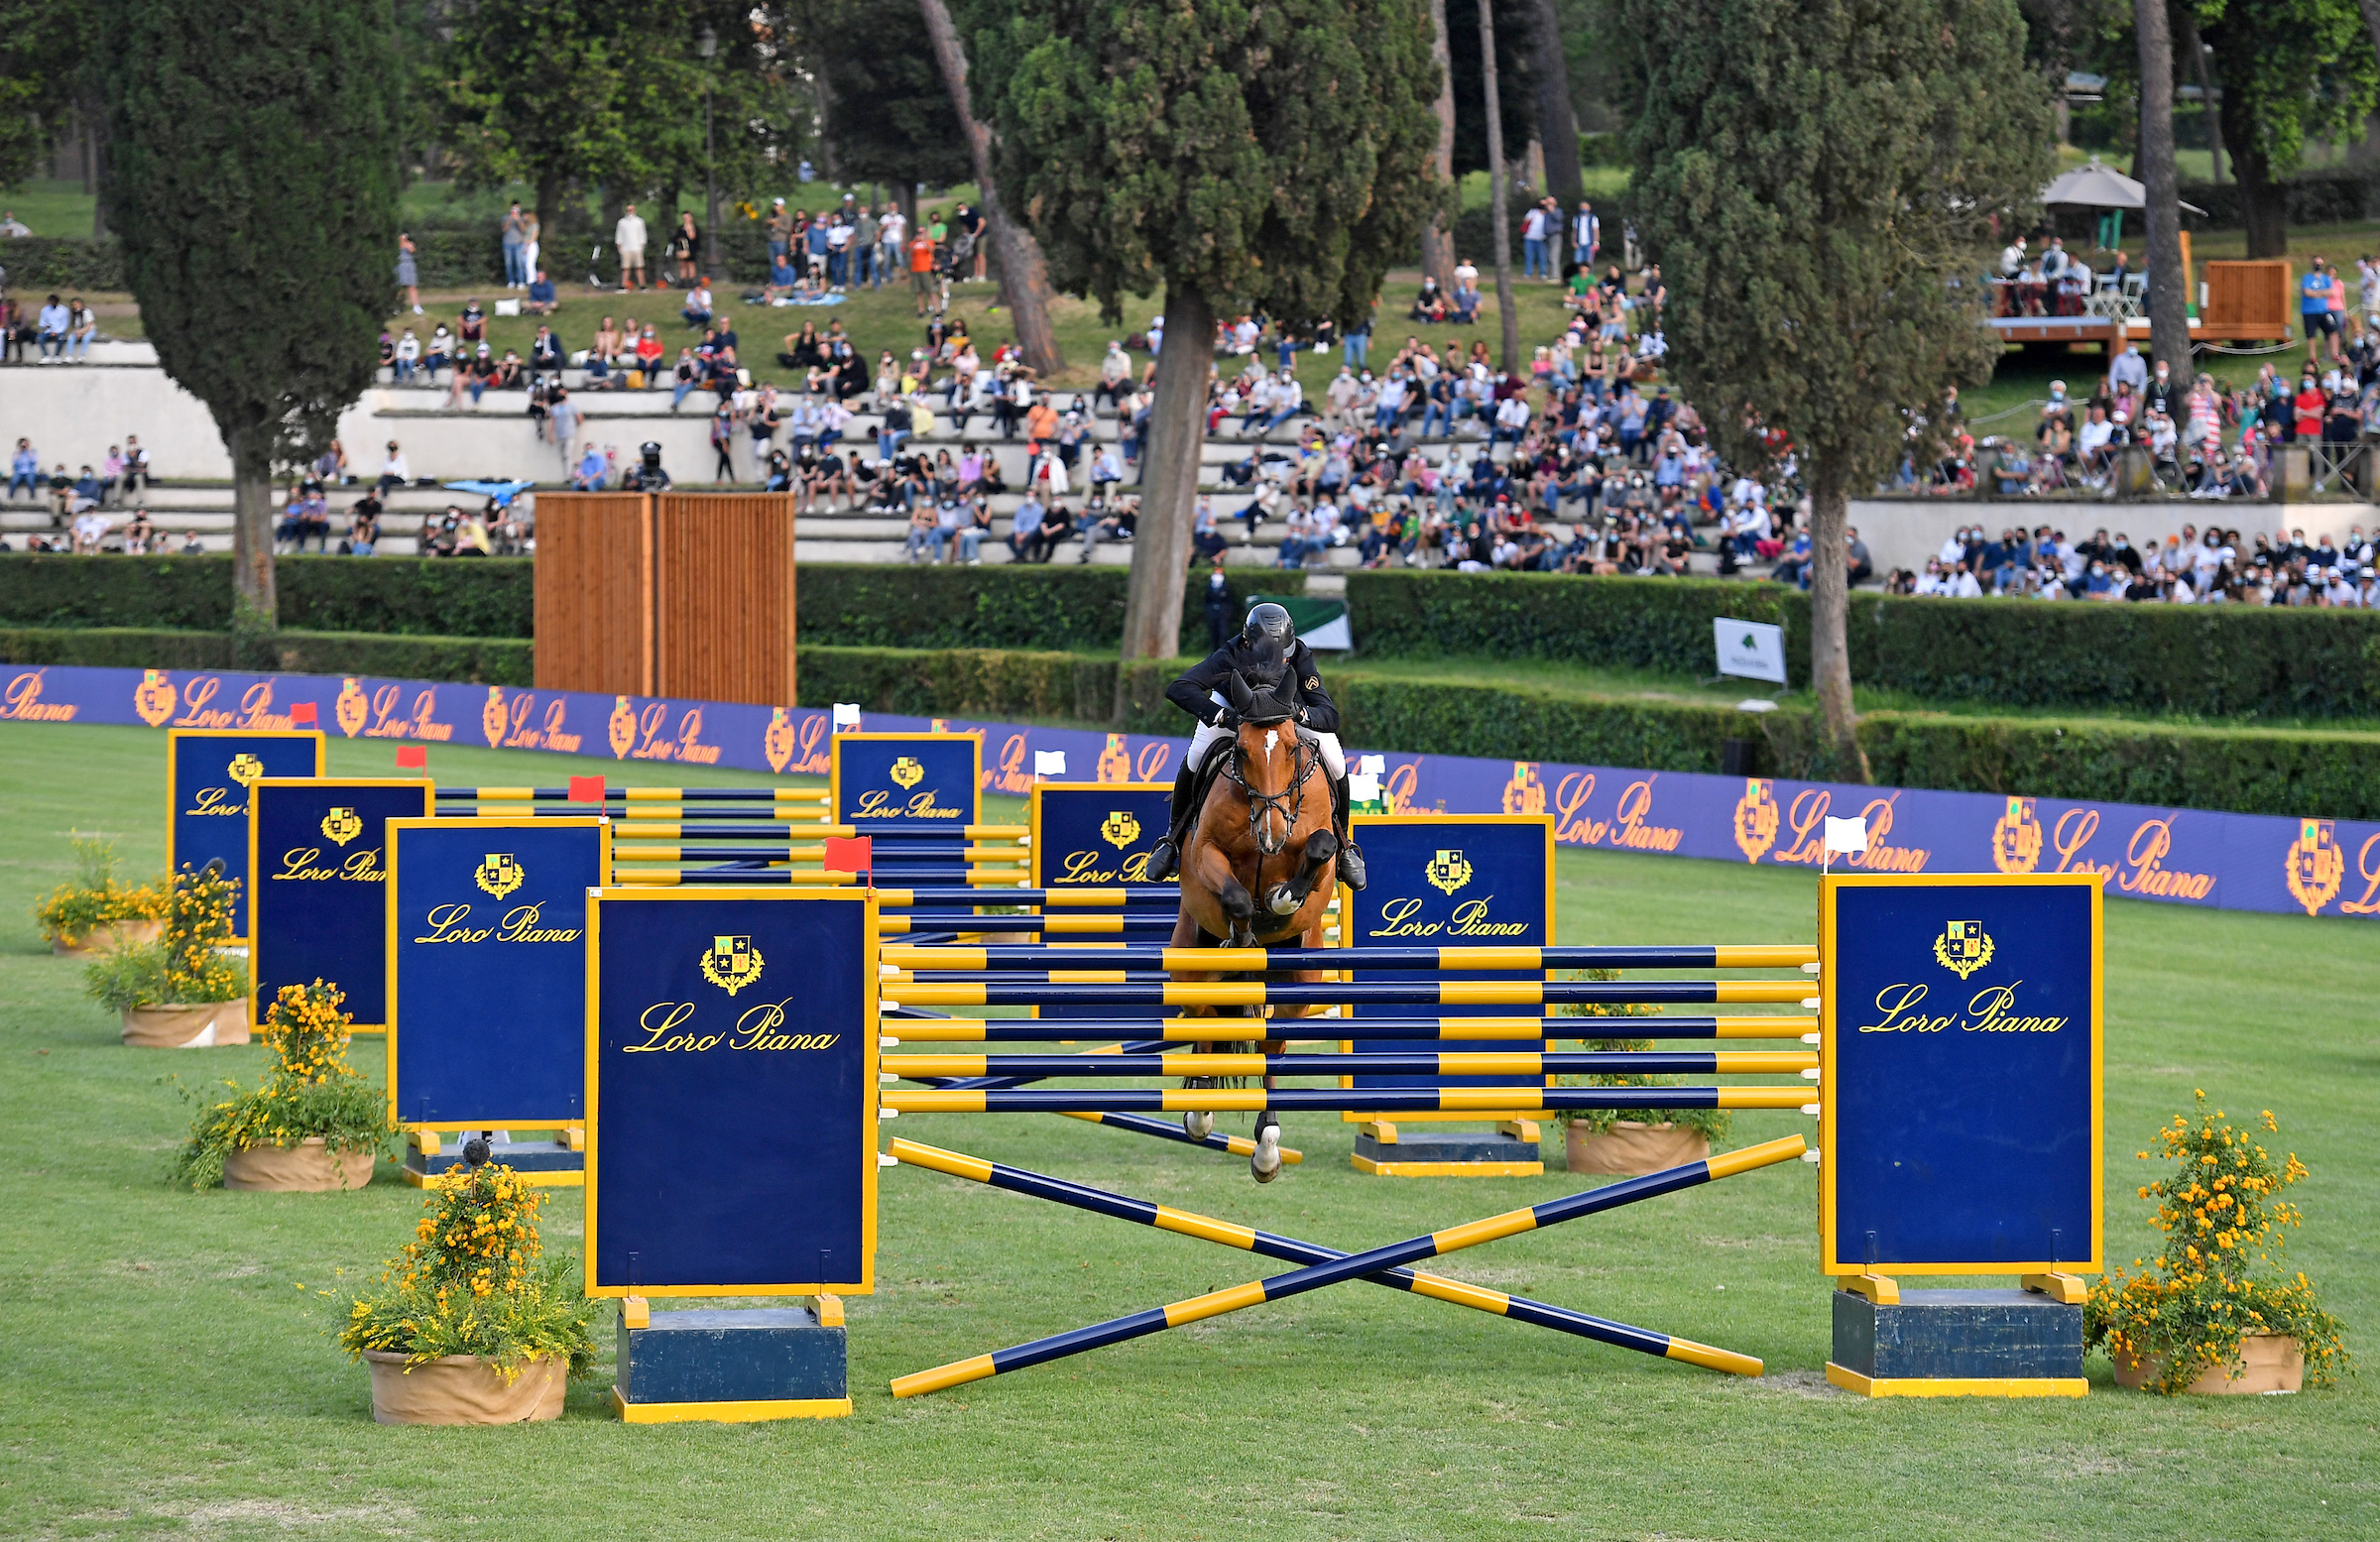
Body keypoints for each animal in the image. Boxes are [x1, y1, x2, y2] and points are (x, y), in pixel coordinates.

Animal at [1166, 665, 1342, 1185]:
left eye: (1290, 748)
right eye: (1242, 750)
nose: (1270, 833)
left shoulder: (1319, 852)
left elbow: (1321, 851)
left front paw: (1283, 899)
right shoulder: (1205, 854)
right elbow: (1236, 896)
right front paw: (1246, 930)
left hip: (1299, 982)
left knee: (1272, 1042)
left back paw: (1267, 1147)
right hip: (1188, 967)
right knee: (1206, 1019)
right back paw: (1200, 1110)